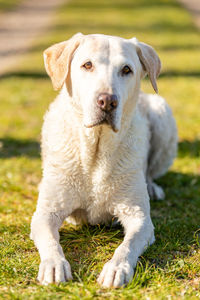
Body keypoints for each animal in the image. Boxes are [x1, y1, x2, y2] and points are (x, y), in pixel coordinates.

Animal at [30, 31, 177, 288]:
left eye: (127, 70)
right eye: (87, 65)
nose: (107, 101)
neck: (96, 151)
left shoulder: (139, 217)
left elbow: (127, 246)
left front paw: (117, 268)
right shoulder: (45, 213)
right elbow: (50, 241)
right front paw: (54, 265)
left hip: (162, 113)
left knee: (150, 171)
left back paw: (152, 186)